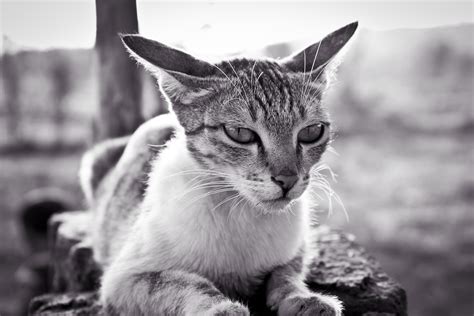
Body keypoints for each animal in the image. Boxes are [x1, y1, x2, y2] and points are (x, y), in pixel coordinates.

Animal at [79, 22, 358, 316]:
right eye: (240, 133)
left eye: (311, 132)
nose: (288, 179)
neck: (241, 211)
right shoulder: (124, 279)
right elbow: (184, 282)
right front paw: (222, 307)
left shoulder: (298, 249)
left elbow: (286, 275)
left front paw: (303, 298)